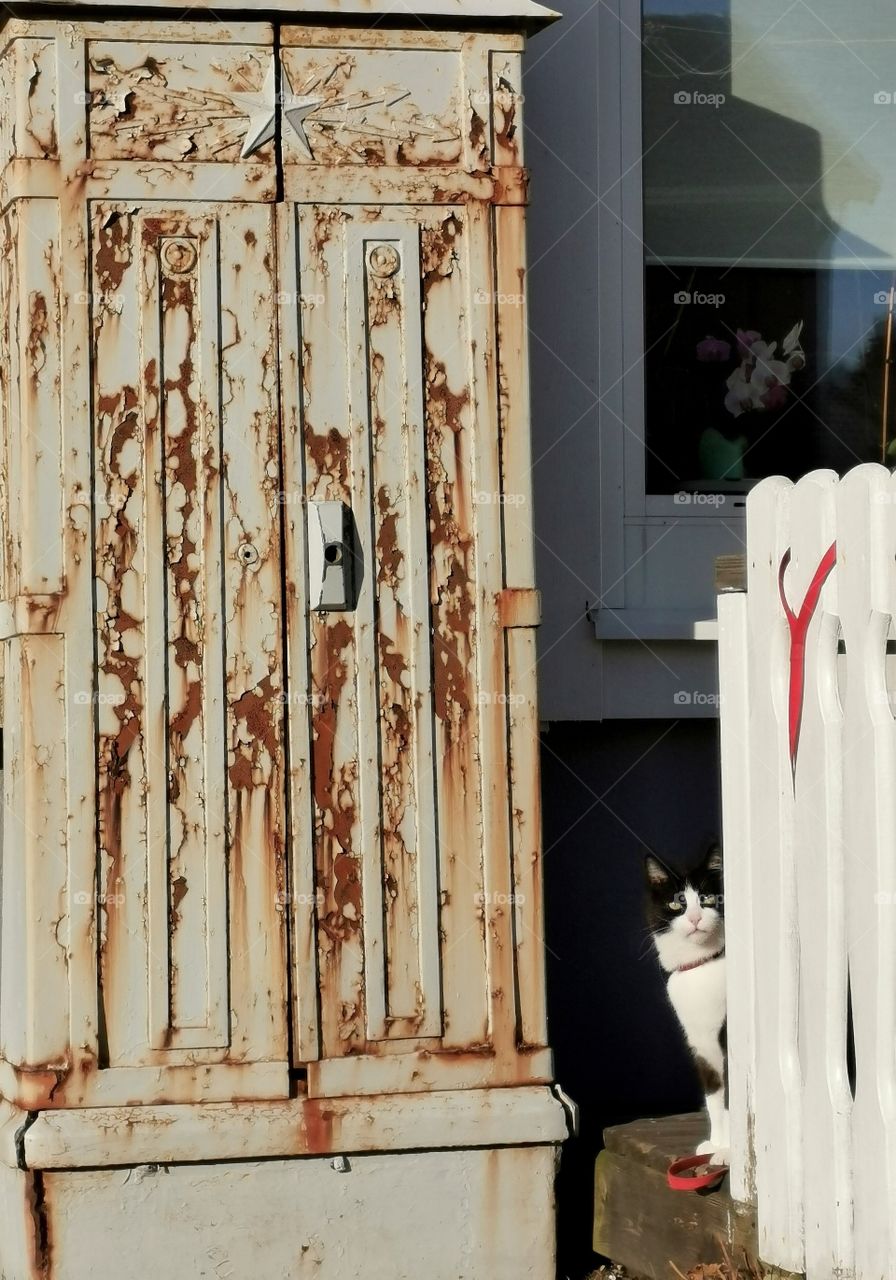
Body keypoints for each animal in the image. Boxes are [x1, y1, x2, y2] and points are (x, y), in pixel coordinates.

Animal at [645, 844, 727, 1167]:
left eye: (707, 899)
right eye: (675, 904)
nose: (693, 918)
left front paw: (729, 1151)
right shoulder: (701, 1047)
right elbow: (715, 1098)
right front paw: (718, 1145)